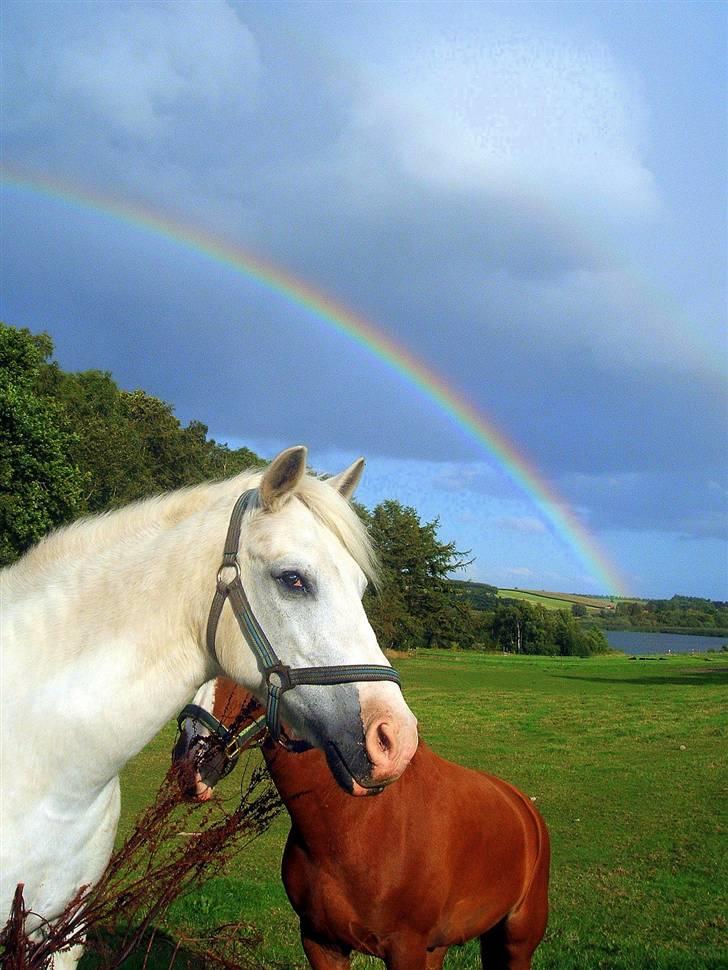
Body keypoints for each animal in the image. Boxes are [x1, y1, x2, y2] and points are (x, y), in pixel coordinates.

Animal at [176, 676, 548, 968]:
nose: (188, 761)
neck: (359, 823)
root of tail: (523, 808)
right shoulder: (321, 943)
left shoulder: (406, 949)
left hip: (517, 942)